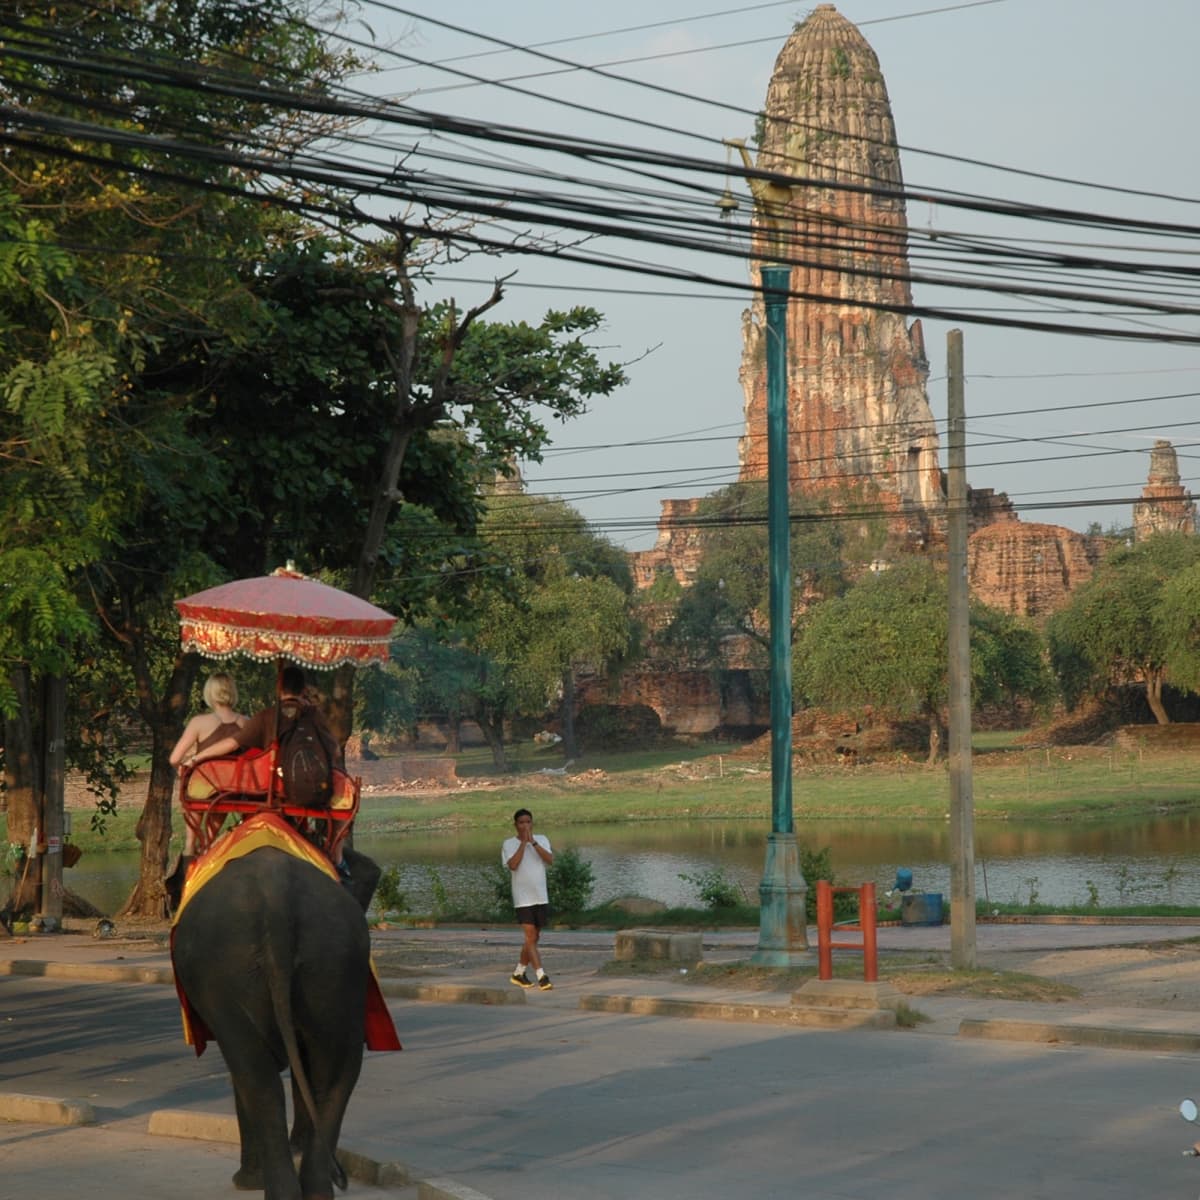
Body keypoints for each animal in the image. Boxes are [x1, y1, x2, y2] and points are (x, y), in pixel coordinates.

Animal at [172, 840, 384, 1195]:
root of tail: (276, 900)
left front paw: (248, 1180)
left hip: (226, 973)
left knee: (255, 1076)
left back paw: (259, 1183)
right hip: (334, 962)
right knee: (338, 1070)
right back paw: (314, 1189)